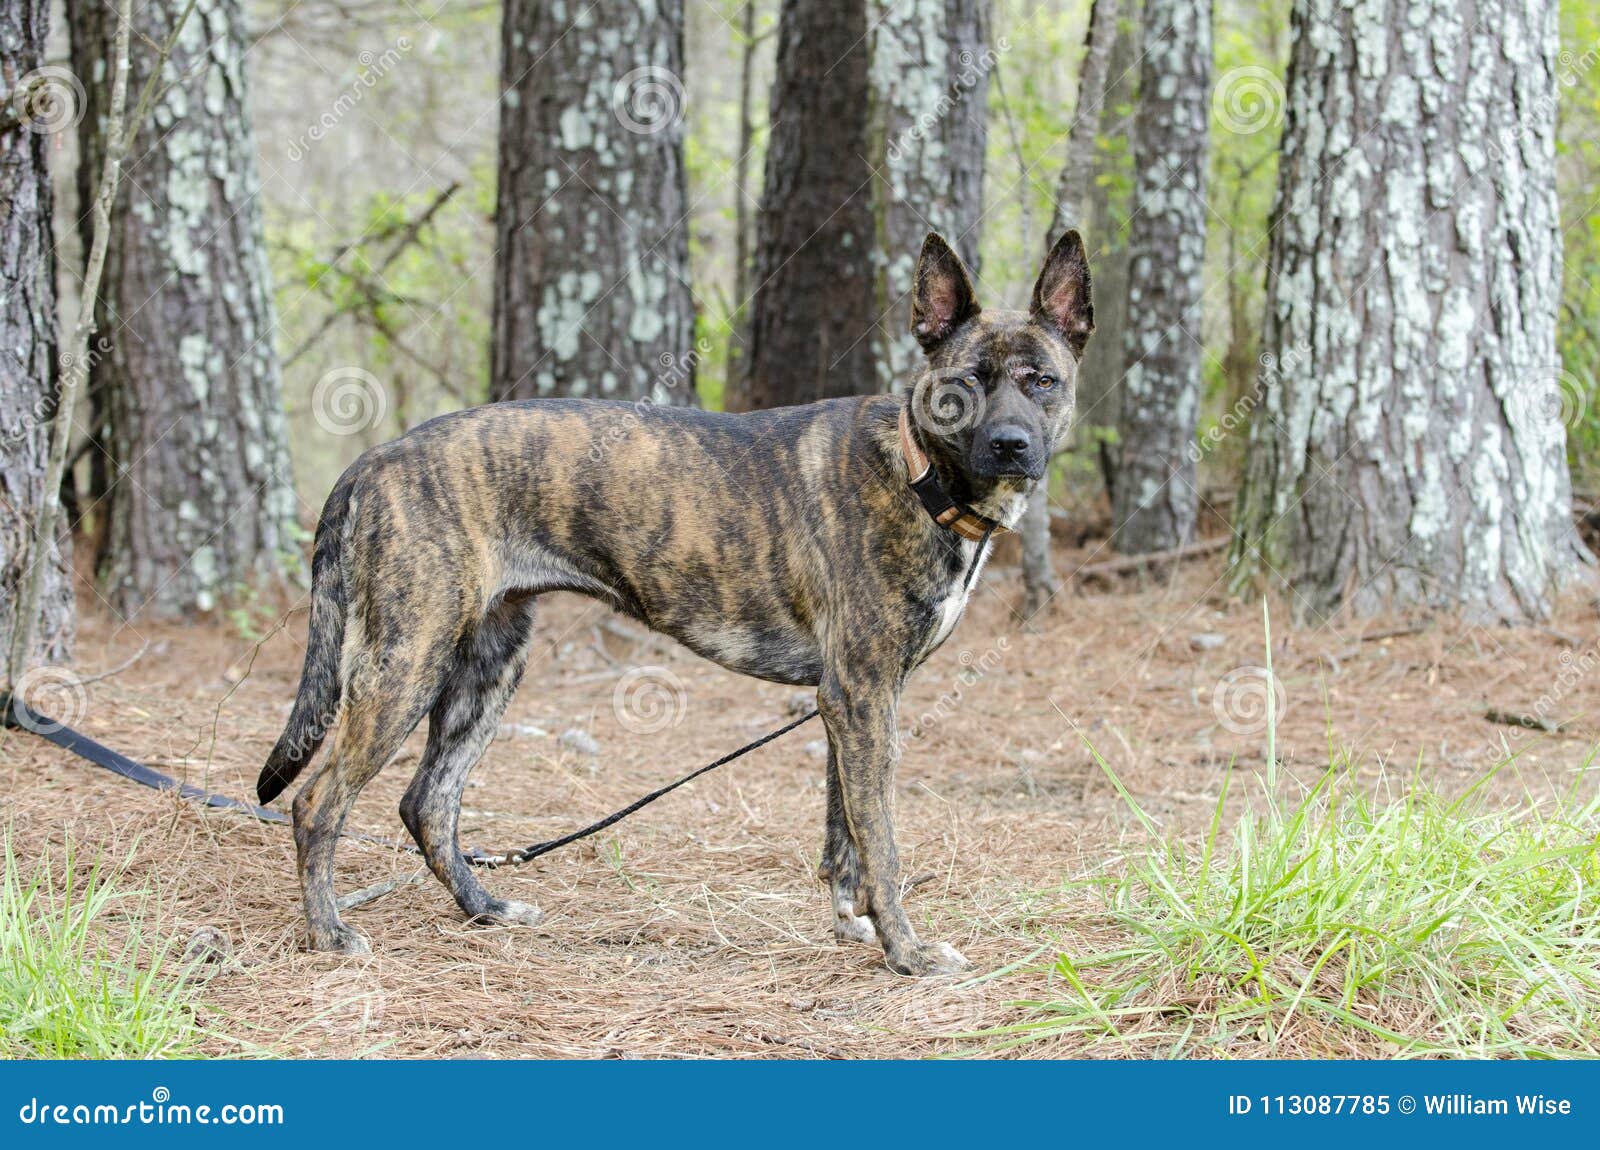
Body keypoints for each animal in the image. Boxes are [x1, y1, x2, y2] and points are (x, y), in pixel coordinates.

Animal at [262, 228, 1094, 978]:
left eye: (1042, 380)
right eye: (965, 385)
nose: (1013, 444)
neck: (920, 474)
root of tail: (373, 460)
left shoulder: (846, 703)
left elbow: (844, 837)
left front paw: (851, 926)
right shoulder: (862, 697)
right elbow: (882, 843)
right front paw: (908, 953)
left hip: (486, 671)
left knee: (428, 804)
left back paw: (487, 909)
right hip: (406, 663)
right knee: (318, 803)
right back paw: (330, 934)